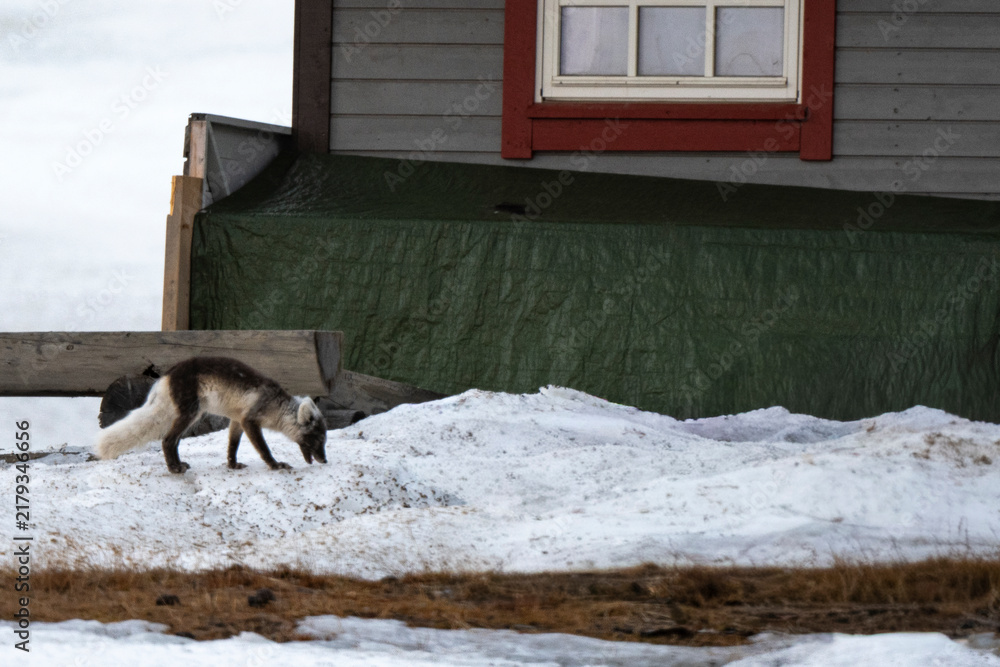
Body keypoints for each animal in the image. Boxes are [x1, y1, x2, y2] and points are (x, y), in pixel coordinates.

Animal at [95, 356, 327, 473]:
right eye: (318, 439)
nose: (325, 461)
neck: (277, 407)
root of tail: (167, 375)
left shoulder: (237, 420)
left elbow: (232, 446)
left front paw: (232, 465)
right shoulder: (250, 420)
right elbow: (263, 448)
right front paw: (275, 465)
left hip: (190, 415)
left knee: (173, 441)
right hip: (191, 413)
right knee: (168, 440)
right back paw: (174, 468)